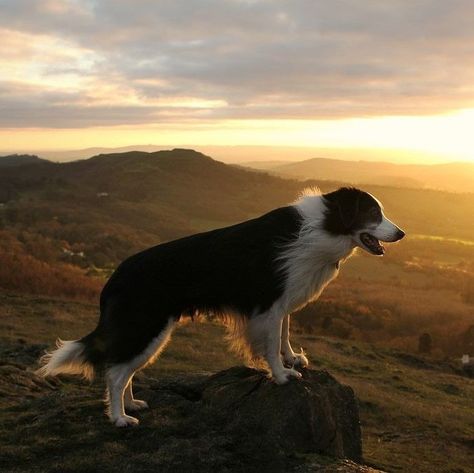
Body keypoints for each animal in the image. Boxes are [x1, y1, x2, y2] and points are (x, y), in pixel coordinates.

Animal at [39, 186, 406, 426]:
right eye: (373, 213)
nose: (402, 233)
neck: (323, 227)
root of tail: (114, 277)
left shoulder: (282, 300)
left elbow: (285, 334)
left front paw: (292, 359)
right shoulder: (268, 305)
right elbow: (270, 345)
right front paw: (282, 376)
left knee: (124, 369)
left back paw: (133, 404)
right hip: (147, 328)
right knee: (116, 373)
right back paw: (119, 417)